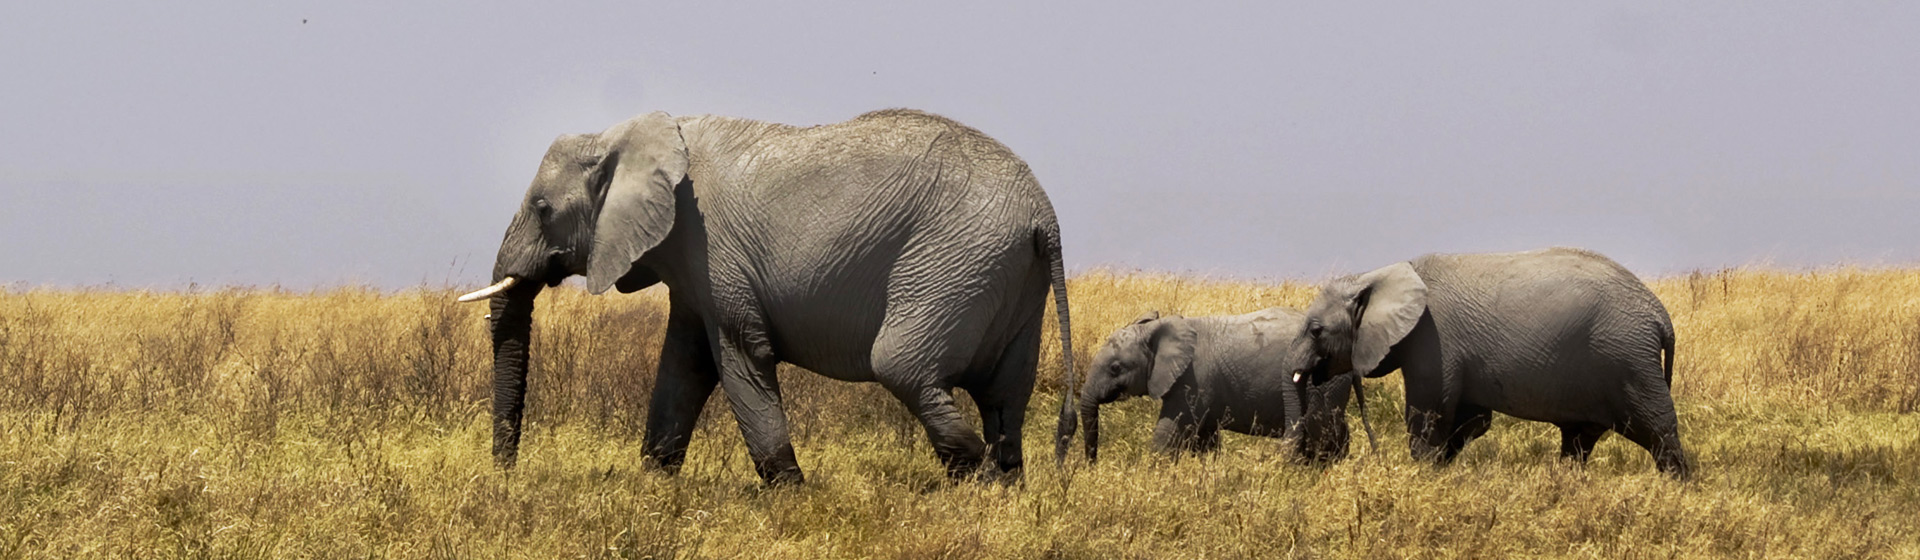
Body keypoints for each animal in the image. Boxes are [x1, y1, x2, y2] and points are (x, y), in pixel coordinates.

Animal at [455, 109, 1075, 485]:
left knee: (903, 366)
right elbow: (684, 366)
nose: (507, 475)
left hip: (955, 261)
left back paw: (972, 480)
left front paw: (793, 496)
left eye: (542, 210)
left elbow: (739, 359)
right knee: (1004, 395)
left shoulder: (715, 252)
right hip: (1009, 277)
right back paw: (1005, 488)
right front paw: (653, 484)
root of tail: (1045, 215)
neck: (623, 134)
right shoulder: (692, 269)